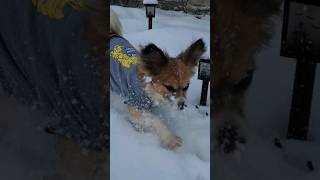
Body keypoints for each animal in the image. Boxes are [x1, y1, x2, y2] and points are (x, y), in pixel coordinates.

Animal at [109, 8, 205, 149]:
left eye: (186, 86)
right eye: (169, 88)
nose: (182, 105)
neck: (149, 89)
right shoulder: (135, 108)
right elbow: (155, 120)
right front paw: (169, 137)